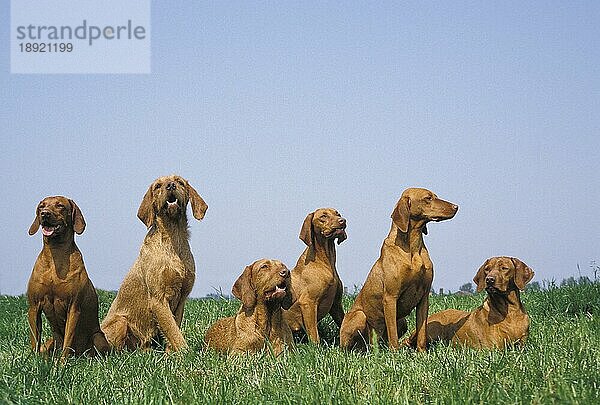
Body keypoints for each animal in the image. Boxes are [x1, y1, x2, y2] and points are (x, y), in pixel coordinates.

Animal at [27, 196, 110, 356]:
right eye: (41, 206)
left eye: (60, 205)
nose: (45, 214)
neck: (56, 253)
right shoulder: (34, 307)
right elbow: (35, 341)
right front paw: (34, 360)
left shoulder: (73, 307)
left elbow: (67, 341)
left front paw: (62, 362)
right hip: (49, 343)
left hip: (98, 338)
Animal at [101, 174, 209, 350]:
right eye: (158, 186)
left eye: (179, 182)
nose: (170, 185)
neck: (173, 238)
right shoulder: (158, 299)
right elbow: (173, 331)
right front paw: (186, 352)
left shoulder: (182, 297)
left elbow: (174, 328)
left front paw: (170, 353)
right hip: (120, 322)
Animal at [284, 207, 346, 342]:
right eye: (323, 216)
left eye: (338, 214)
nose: (343, 221)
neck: (325, 262)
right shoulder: (308, 303)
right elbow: (314, 335)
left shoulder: (336, 304)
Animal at [340, 188, 458, 348]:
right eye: (428, 198)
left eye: (435, 196)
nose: (456, 207)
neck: (413, 247)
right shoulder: (390, 298)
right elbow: (393, 335)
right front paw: (395, 353)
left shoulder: (424, 298)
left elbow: (421, 333)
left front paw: (421, 352)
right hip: (360, 316)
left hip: (402, 321)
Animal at [408, 256, 536, 348]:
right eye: (487, 269)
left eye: (504, 268)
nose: (489, 280)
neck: (510, 311)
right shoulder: (493, 349)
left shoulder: (522, 346)